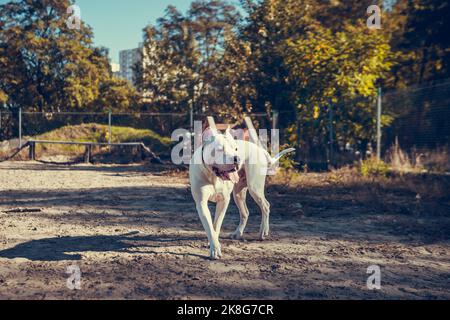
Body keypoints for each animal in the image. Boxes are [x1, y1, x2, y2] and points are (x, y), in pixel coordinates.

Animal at [190, 126, 296, 258]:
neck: (213, 176)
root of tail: (260, 150)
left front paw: (215, 246)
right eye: (220, 149)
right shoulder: (201, 204)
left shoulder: (224, 201)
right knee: (245, 212)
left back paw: (263, 232)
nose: (237, 158)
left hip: (254, 188)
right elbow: (210, 227)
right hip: (238, 194)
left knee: (265, 206)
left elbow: (217, 224)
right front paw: (214, 246)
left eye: (235, 148)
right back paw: (238, 233)